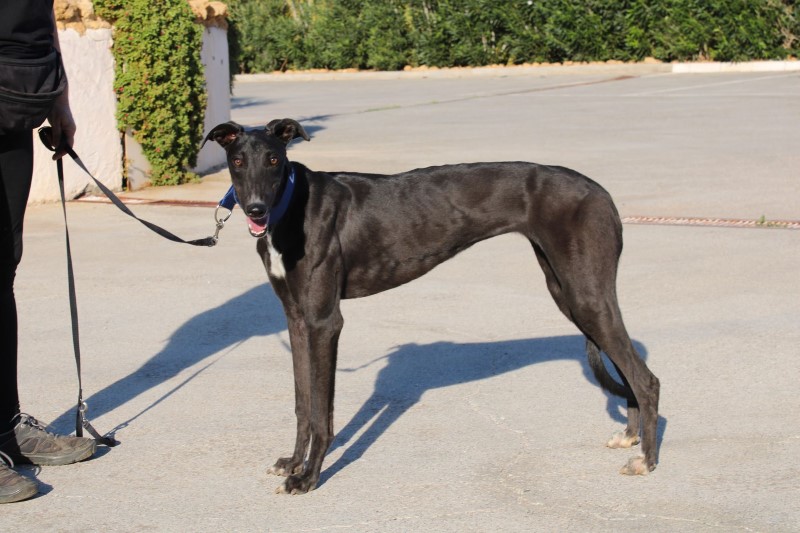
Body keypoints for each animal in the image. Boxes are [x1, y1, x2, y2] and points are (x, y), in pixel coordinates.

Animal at [204, 119, 660, 494]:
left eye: (275, 159)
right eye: (238, 161)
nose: (256, 209)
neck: (291, 206)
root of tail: (602, 194)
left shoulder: (324, 322)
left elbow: (322, 412)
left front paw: (310, 477)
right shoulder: (297, 320)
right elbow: (303, 403)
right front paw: (293, 463)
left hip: (586, 295)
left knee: (646, 379)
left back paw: (646, 460)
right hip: (569, 293)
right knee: (629, 373)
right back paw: (630, 437)